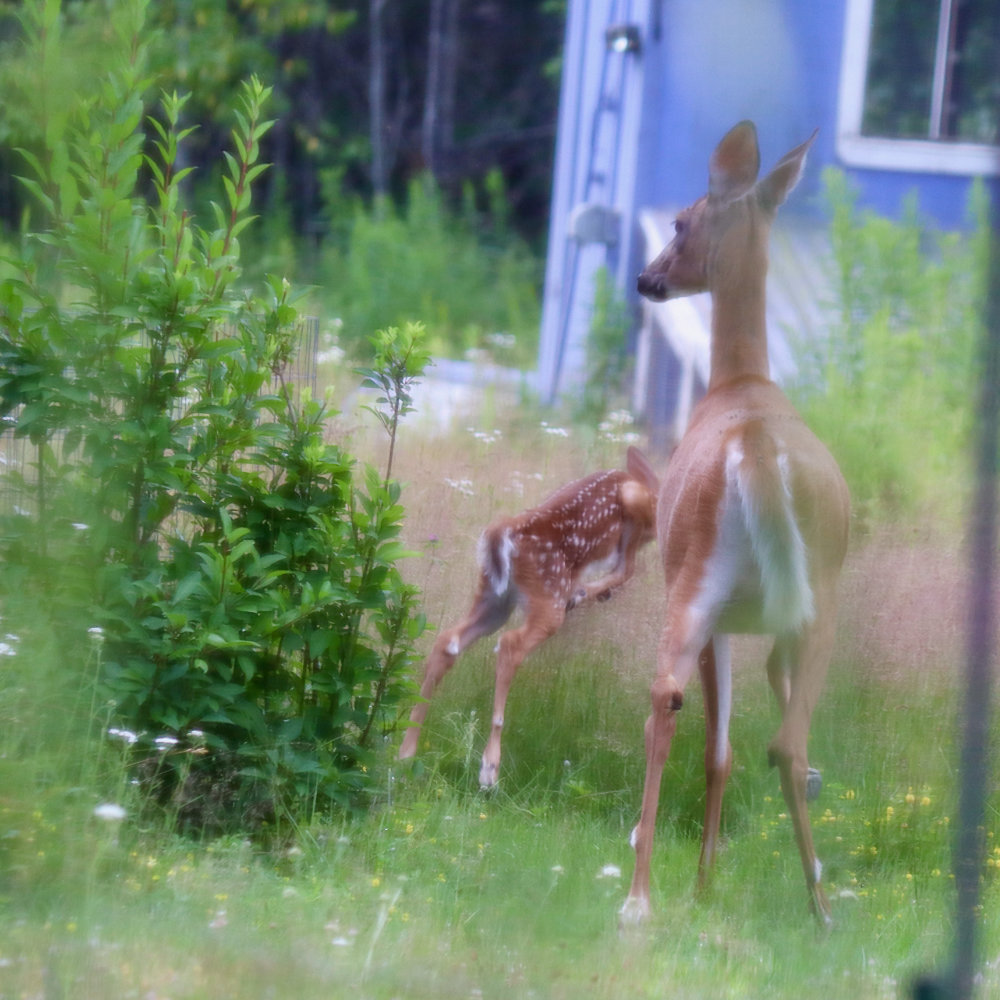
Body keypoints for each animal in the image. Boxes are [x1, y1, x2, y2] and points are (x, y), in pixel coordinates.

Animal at [398, 448, 664, 788]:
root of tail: (502, 533)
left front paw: (589, 593)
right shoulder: (634, 510)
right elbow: (625, 569)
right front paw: (581, 594)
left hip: (494, 598)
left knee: (448, 641)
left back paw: (406, 751)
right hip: (545, 594)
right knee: (511, 645)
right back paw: (489, 770)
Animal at [620, 121, 848, 924]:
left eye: (680, 223)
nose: (647, 279)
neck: (740, 383)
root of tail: (753, 448)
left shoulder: (722, 615)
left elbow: (715, 750)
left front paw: (703, 883)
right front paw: (709, 881)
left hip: (698, 581)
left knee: (666, 702)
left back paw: (641, 897)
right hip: (815, 597)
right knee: (789, 742)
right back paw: (820, 906)